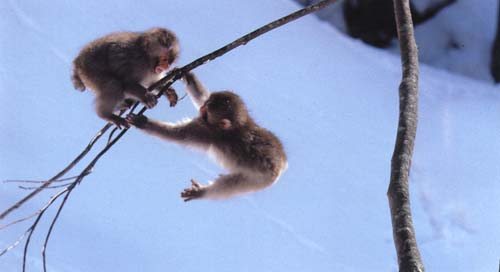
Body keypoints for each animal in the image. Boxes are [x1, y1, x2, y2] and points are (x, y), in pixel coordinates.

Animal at [125, 73, 288, 202]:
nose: (202, 110)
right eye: (205, 105)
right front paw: (188, 76)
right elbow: (201, 95)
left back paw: (203, 192)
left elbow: (179, 135)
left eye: (206, 112)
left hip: (258, 180)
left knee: (229, 184)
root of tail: (281, 166)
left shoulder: (207, 133)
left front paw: (144, 123)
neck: (237, 125)